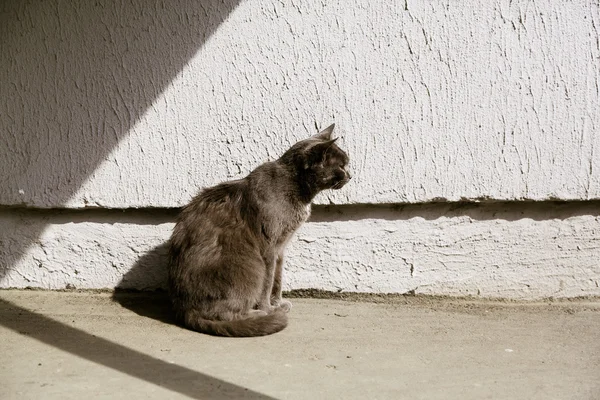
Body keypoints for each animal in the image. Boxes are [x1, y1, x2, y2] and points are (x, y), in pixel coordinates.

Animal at [166, 123, 350, 336]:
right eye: (341, 166)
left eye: (346, 164)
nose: (351, 175)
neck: (298, 190)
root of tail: (186, 310)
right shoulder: (269, 247)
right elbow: (268, 283)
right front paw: (269, 308)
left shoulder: (281, 248)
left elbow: (278, 280)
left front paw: (278, 303)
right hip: (251, 266)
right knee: (224, 313)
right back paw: (260, 315)